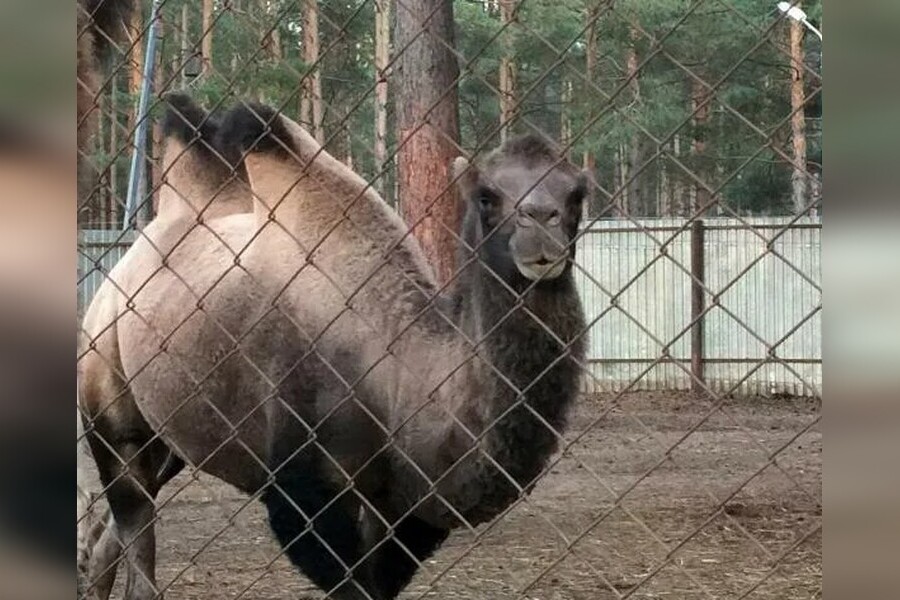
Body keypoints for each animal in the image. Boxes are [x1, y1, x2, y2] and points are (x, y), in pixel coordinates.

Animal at [81, 101, 592, 596]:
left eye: (577, 195)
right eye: (487, 197)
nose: (540, 226)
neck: (393, 369)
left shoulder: (398, 504)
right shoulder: (305, 482)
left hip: (172, 434)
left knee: (120, 524)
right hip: (108, 396)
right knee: (133, 514)